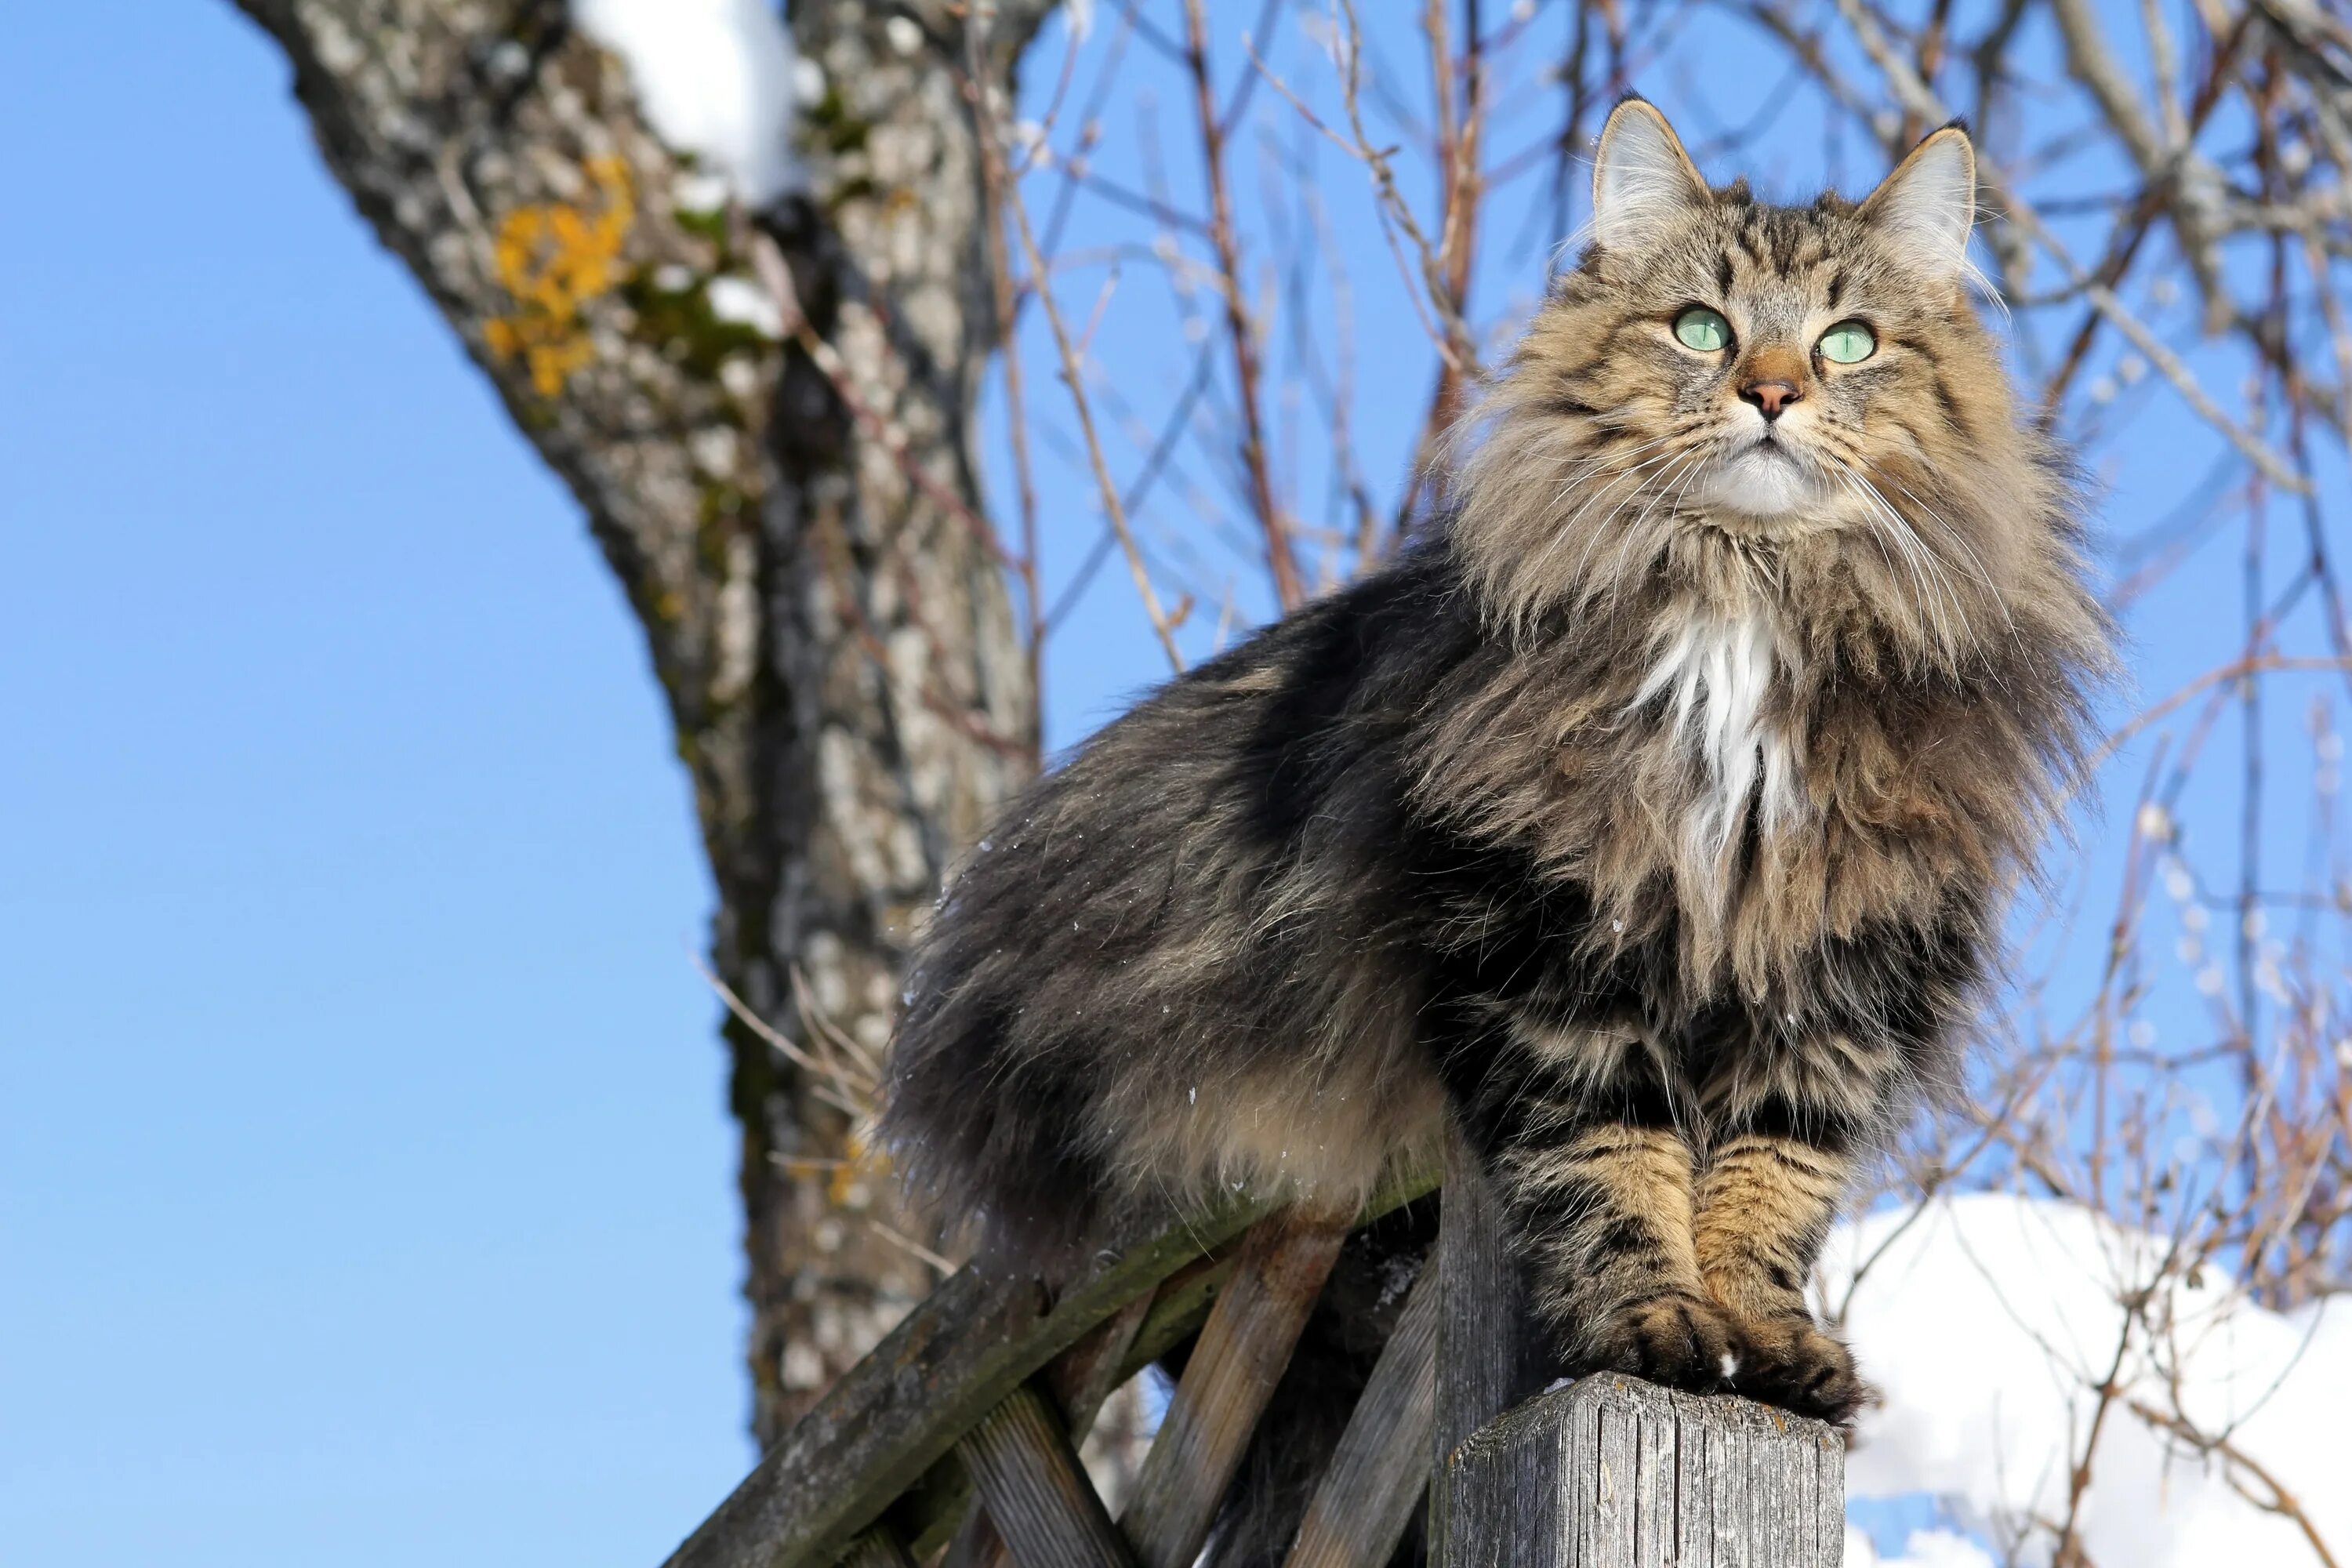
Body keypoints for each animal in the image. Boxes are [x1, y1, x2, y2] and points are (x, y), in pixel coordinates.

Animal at [884, 89, 2117, 1533]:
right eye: (1702, 327)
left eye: (1848, 341)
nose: (1772, 390)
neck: (1742, 607)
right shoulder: (1545, 953)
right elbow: (1614, 1171)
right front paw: (1654, 1328)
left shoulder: (1834, 988)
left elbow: (1772, 1189)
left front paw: (1769, 1346)